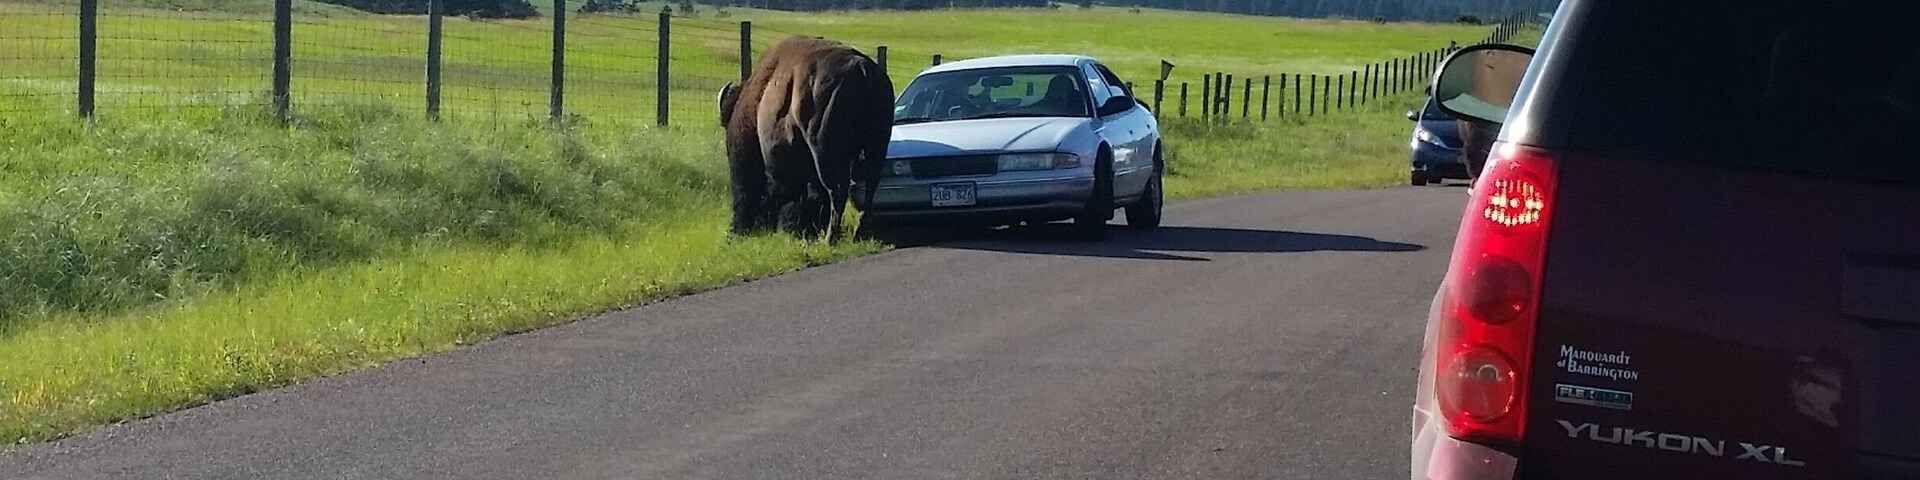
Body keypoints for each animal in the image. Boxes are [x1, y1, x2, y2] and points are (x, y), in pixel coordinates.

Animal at [718, 35, 894, 245]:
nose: (735, 231)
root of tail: (862, 68)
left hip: (825, 152)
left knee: (837, 190)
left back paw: (830, 238)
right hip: (876, 146)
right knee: (869, 185)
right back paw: (858, 233)